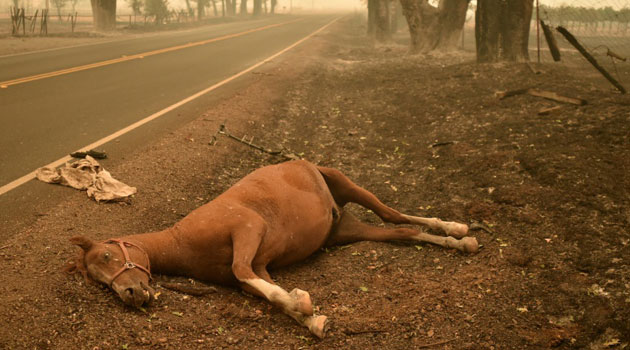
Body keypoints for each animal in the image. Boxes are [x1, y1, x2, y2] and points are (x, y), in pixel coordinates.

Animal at [69, 160, 478, 338]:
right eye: (97, 280)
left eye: (107, 256)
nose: (131, 294)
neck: (183, 241)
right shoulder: (260, 269)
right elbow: (269, 294)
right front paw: (311, 317)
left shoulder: (248, 230)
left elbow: (243, 270)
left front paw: (305, 304)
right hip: (346, 230)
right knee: (404, 231)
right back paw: (456, 240)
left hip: (346, 185)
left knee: (394, 214)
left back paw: (457, 230)